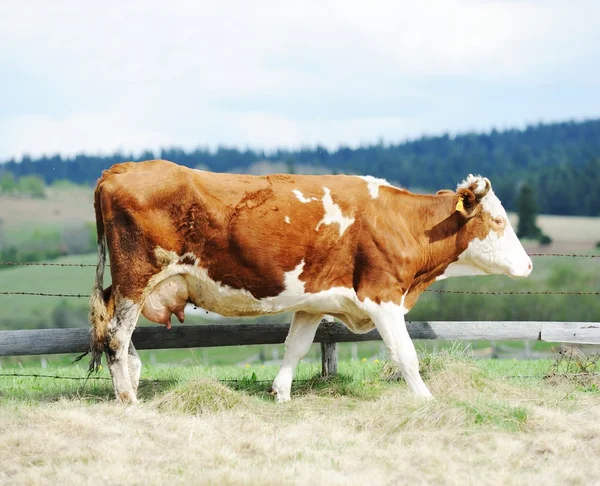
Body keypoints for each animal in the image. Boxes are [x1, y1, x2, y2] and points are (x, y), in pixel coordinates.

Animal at [86, 159, 532, 402]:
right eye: (498, 220)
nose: (528, 265)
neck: (399, 221)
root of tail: (120, 168)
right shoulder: (383, 296)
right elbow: (405, 354)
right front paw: (425, 398)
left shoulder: (314, 301)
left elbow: (295, 347)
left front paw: (281, 392)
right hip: (135, 278)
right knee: (117, 336)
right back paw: (128, 398)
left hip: (130, 286)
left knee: (117, 334)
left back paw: (133, 383)